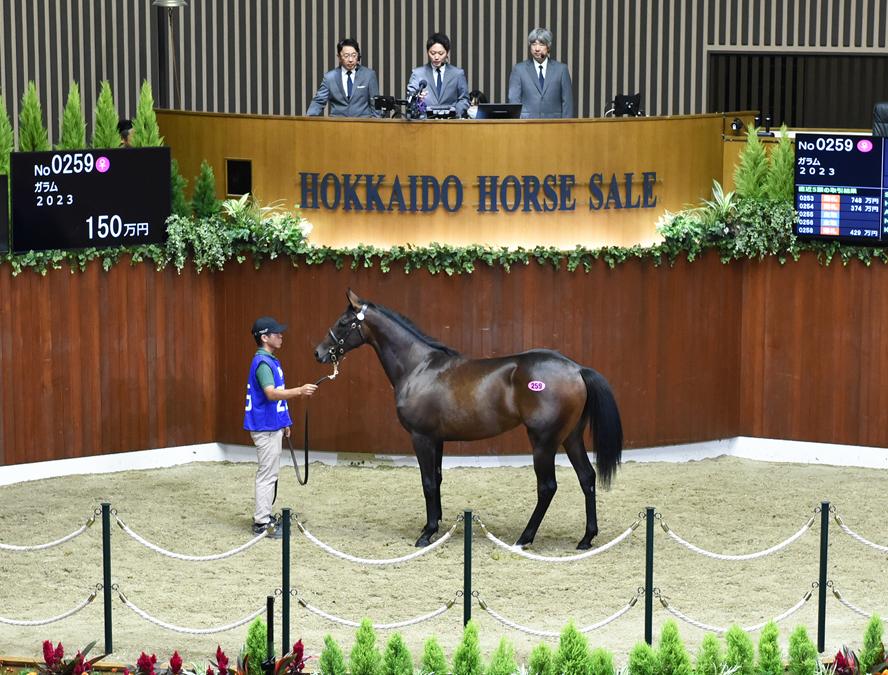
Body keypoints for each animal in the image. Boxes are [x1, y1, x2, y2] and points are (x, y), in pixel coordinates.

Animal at [314, 289, 623, 550]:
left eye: (343, 323)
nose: (318, 353)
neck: (418, 368)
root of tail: (576, 369)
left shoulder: (421, 438)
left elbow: (427, 481)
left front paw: (426, 534)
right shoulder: (437, 439)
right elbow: (437, 479)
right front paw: (434, 526)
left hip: (543, 442)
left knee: (547, 487)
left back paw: (524, 538)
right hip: (570, 437)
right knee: (587, 477)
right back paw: (586, 539)